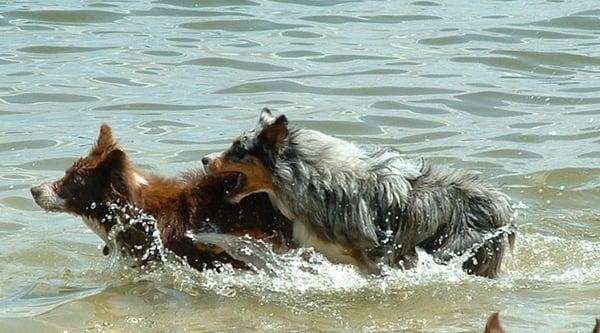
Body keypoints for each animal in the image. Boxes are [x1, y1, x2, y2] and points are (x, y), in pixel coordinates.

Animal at [203, 107, 516, 276]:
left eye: (238, 149)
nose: (204, 159)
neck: (309, 178)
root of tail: (501, 203)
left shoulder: (377, 256)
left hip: (455, 250)